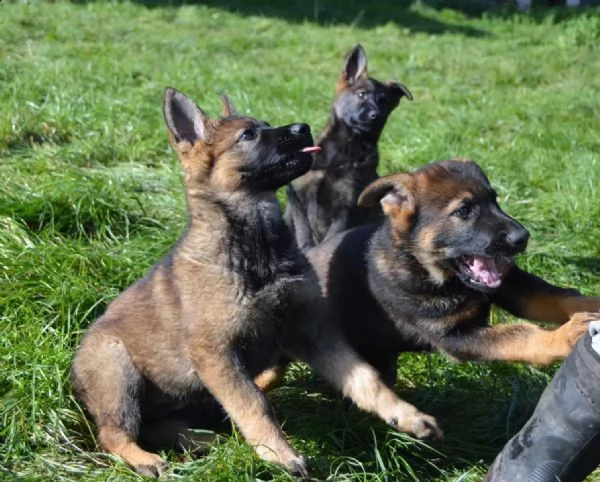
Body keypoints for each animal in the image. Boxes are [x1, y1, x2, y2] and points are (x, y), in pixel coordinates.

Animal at [72, 87, 442, 478]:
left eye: (265, 124)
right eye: (248, 135)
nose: (303, 127)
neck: (258, 246)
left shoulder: (314, 331)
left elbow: (365, 378)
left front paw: (406, 415)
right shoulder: (216, 353)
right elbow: (253, 402)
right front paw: (278, 453)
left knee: (155, 427)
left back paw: (205, 439)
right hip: (116, 369)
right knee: (114, 433)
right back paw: (145, 458)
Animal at [286, 43, 412, 250]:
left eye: (384, 101)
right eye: (361, 94)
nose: (376, 116)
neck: (347, 145)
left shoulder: (345, 209)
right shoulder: (298, 199)